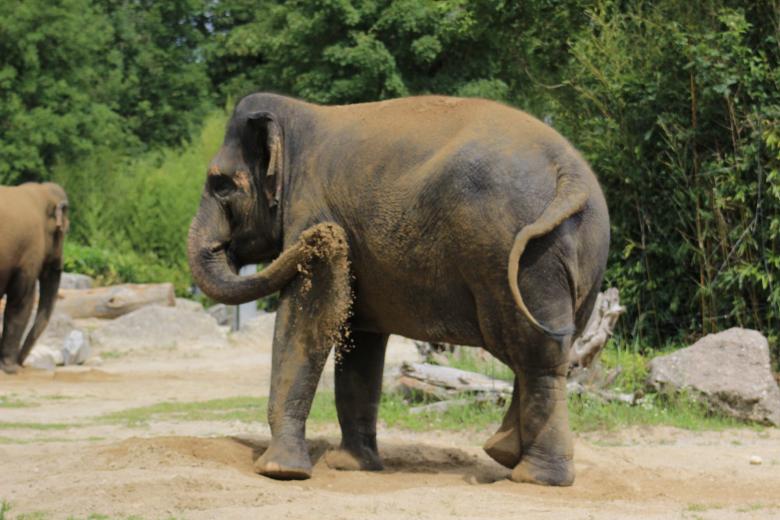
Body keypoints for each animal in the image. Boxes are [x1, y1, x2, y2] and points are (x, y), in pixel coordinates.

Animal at [0, 182, 69, 374]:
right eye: (63, 232)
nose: (21, 363)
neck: (40, 191)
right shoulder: (30, 252)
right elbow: (23, 301)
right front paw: (11, 369)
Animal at [187, 93, 610, 486]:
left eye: (220, 185)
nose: (324, 236)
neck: (297, 118)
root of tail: (569, 173)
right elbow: (359, 342)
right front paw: (351, 467)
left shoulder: (308, 205)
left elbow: (309, 313)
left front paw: (279, 471)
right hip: (579, 255)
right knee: (550, 346)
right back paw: (504, 453)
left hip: (521, 255)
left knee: (536, 355)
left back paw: (533, 477)